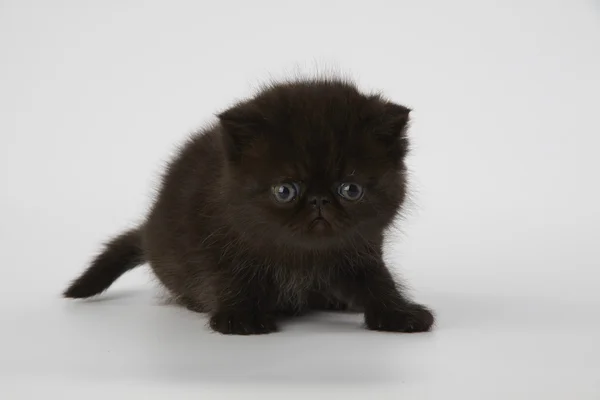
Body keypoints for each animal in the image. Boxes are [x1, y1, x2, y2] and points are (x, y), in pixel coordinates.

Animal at [63, 77, 434, 334]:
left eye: (350, 189)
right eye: (285, 190)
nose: (319, 200)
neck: (303, 256)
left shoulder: (361, 249)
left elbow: (377, 282)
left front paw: (399, 313)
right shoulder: (214, 241)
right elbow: (231, 278)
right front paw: (241, 317)